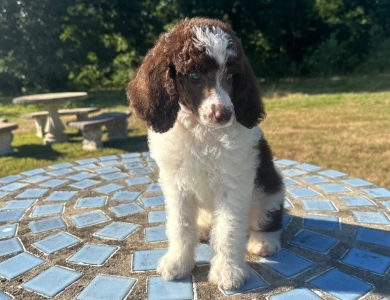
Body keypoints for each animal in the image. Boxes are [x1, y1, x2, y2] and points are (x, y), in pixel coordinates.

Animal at [126, 17, 284, 290]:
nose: (224, 114)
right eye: (195, 75)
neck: (201, 130)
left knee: (268, 219)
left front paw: (228, 271)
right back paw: (203, 226)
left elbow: (228, 229)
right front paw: (178, 262)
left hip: (269, 192)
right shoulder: (175, 184)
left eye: (231, 76)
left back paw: (264, 242)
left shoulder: (233, 184)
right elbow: (180, 224)